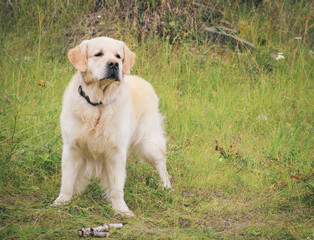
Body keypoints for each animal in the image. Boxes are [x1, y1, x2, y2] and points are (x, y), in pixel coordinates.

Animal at [54, 36, 172, 217]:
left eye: (118, 56)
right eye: (98, 54)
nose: (114, 64)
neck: (97, 105)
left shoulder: (116, 152)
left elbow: (117, 187)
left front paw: (121, 210)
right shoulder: (71, 148)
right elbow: (67, 181)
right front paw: (61, 202)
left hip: (149, 144)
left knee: (162, 166)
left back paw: (167, 187)